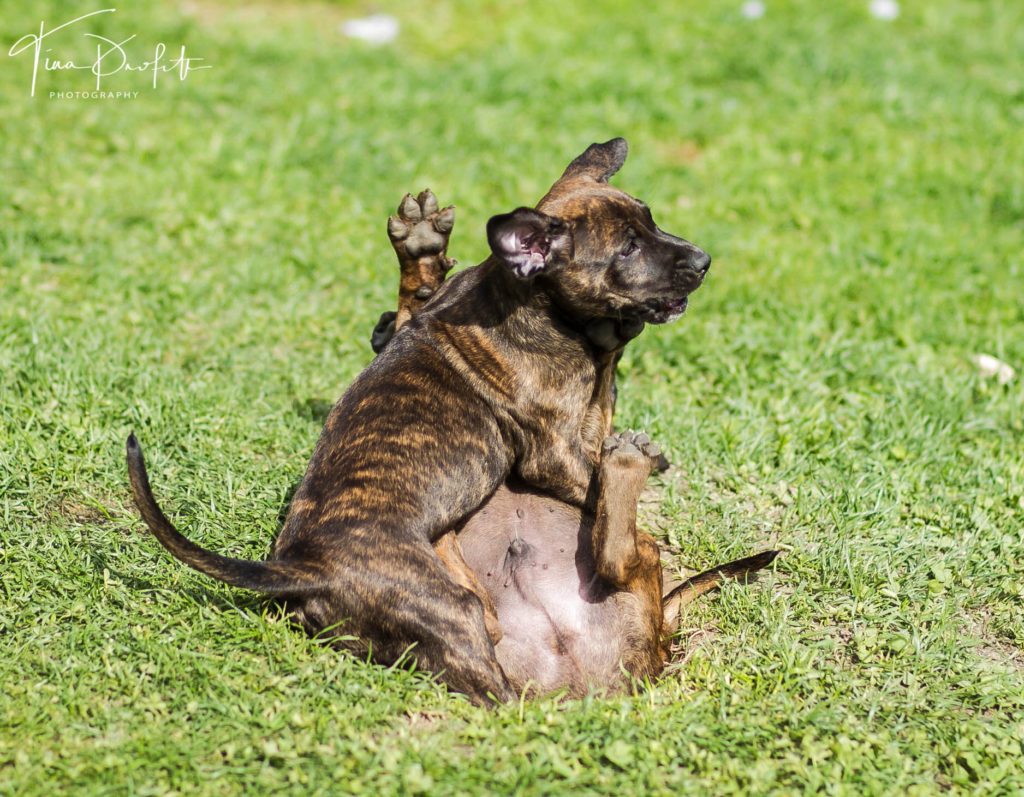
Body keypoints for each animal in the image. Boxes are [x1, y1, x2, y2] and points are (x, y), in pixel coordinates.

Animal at [128, 138, 713, 704]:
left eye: (651, 221)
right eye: (628, 249)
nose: (704, 259)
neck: (524, 298)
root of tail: (301, 569)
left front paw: (421, 251)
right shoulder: (554, 452)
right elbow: (592, 450)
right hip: (449, 612)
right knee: (507, 686)